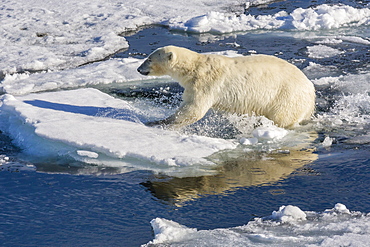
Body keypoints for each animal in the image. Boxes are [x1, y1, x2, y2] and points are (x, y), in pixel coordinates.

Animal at [137, 45, 316, 128]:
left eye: (149, 58)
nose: (138, 69)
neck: (195, 66)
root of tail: (310, 88)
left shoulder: (206, 83)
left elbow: (193, 109)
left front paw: (157, 122)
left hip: (286, 95)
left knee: (282, 117)